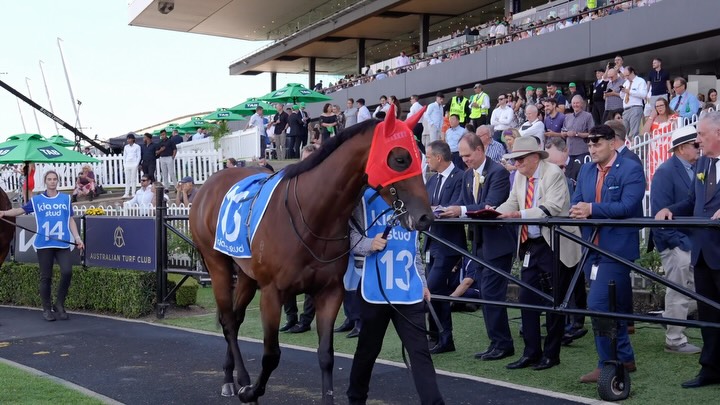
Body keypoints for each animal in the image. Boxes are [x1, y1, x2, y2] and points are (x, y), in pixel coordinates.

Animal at [189, 106, 433, 404]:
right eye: (400, 158)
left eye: (421, 156)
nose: (425, 217)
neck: (313, 214)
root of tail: (207, 185)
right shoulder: (272, 293)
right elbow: (271, 355)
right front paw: (252, 391)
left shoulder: (330, 292)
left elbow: (326, 355)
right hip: (218, 265)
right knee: (227, 322)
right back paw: (241, 381)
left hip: (246, 274)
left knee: (235, 318)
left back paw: (229, 376)